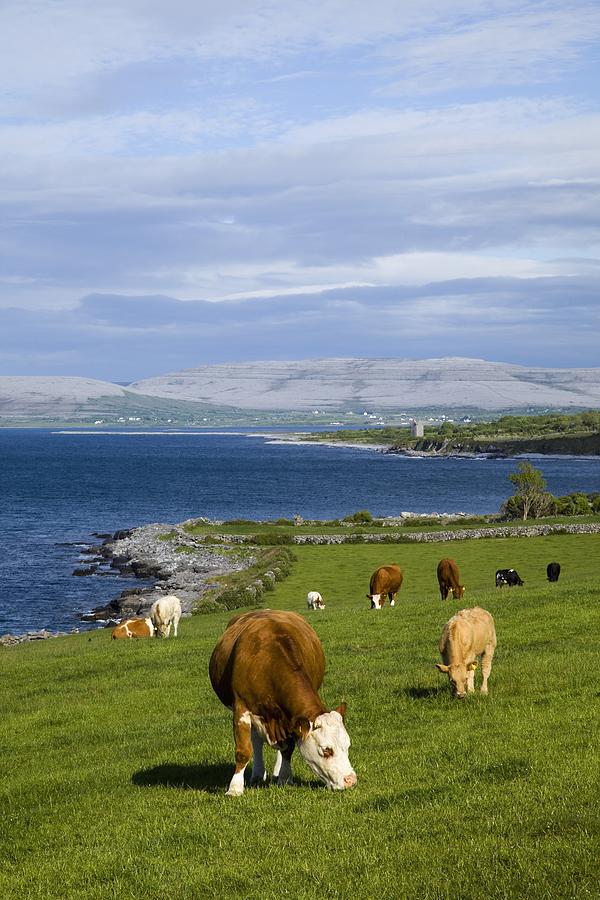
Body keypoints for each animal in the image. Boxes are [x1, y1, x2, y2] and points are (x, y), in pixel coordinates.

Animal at [209, 612, 356, 796]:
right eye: (326, 750)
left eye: (348, 745)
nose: (351, 781)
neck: (268, 662)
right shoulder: (241, 709)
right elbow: (243, 751)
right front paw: (235, 788)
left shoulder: (291, 719)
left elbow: (288, 748)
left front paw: (285, 778)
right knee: (256, 740)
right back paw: (258, 774)